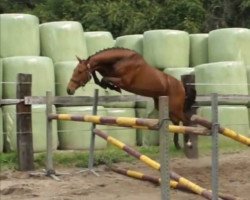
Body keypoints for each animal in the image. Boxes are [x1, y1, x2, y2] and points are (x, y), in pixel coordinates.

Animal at [67, 47, 195, 149]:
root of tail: (180, 85)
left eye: (80, 71)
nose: (69, 90)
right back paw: (177, 145)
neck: (120, 61)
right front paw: (108, 86)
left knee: (185, 121)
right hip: (164, 105)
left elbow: (104, 79)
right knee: (176, 123)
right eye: (74, 70)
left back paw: (188, 143)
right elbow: (99, 79)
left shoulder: (123, 82)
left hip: (175, 107)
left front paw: (114, 88)